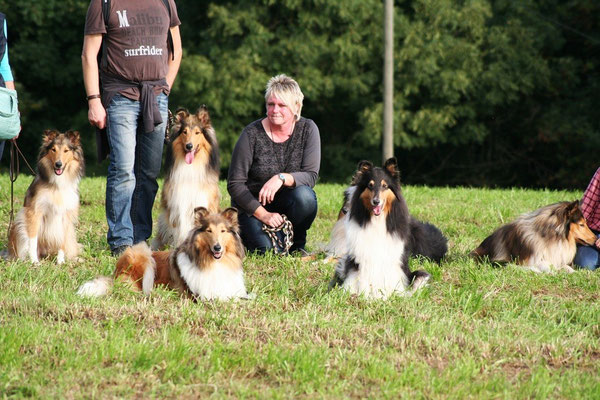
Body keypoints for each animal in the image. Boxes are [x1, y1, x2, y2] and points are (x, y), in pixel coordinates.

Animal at [6, 130, 84, 264]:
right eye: (53, 149)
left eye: (66, 150)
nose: (58, 164)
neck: (57, 184)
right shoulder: (34, 212)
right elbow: (33, 240)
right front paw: (34, 261)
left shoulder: (66, 215)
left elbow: (62, 241)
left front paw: (60, 262)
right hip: (19, 226)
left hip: (70, 234)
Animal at [78, 206, 247, 300]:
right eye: (209, 231)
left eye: (223, 231)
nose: (217, 248)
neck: (212, 263)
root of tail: (115, 273)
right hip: (141, 253)